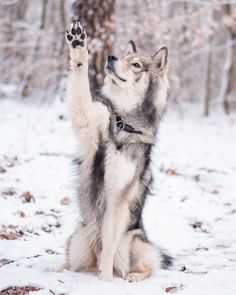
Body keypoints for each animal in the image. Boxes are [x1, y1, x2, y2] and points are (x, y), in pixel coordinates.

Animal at [62, 20, 173, 282]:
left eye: (136, 65)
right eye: (123, 57)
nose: (111, 57)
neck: (121, 124)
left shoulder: (118, 198)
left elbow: (109, 245)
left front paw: (105, 282)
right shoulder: (88, 125)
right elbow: (80, 80)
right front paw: (78, 45)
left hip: (135, 242)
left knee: (149, 265)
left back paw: (132, 276)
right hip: (77, 239)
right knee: (75, 263)